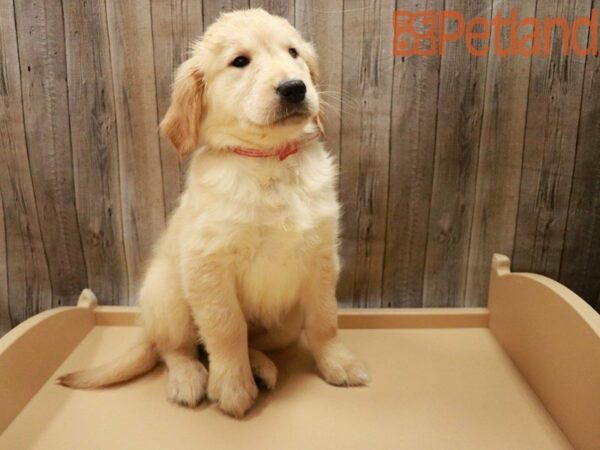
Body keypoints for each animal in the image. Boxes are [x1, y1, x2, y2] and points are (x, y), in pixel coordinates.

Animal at [58, 7, 368, 418]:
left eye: (294, 53)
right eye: (240, 61)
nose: (294, 87)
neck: (268, 161)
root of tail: (146, 328)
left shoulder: (321, 258)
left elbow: (325, 319)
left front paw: (338, 363)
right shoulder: (208, 264)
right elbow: (226, 328)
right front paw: (233, 385)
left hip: (283, 324)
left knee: (252, 341)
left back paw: (261, 366)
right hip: (167, 293)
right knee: (176, 348)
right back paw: (190, 377)